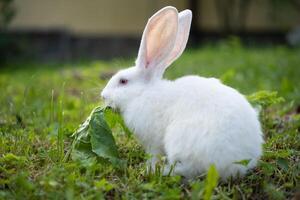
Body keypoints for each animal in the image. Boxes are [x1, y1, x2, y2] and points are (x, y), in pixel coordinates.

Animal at [102, 7, 264, 180]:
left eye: (123, 81)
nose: (103, 95)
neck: (143, 93)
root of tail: (235, 166)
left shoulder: (153, 142)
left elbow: (153, 156)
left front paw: (148, 168)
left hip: (181, 142)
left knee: (189, 170)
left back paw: (163, 171)